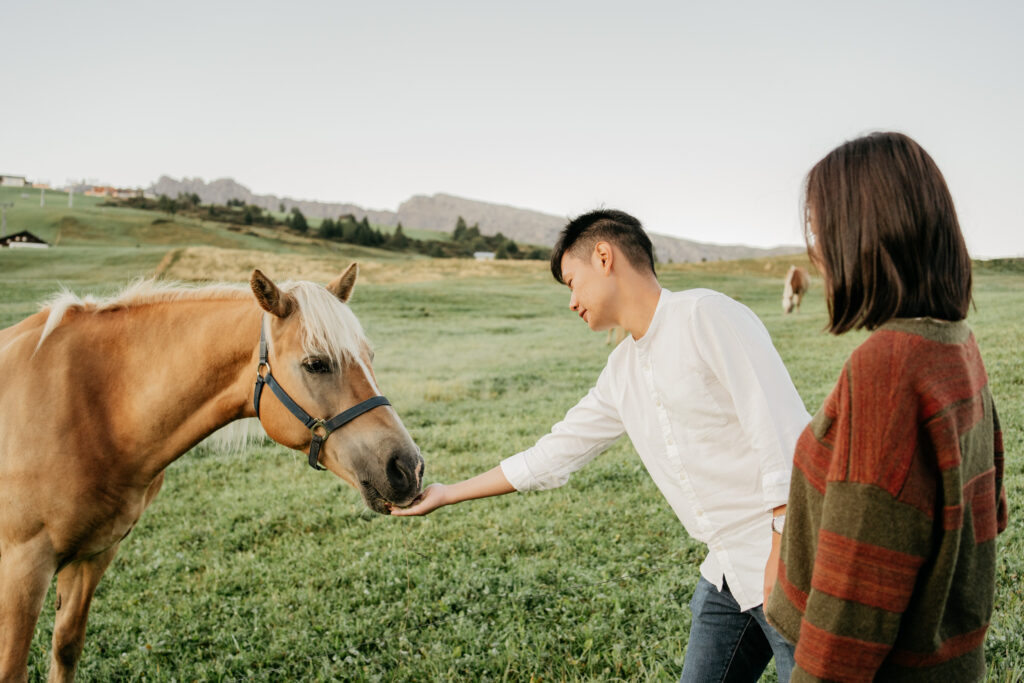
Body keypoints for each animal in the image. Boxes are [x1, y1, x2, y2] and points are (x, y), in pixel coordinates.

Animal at [0, 264, 423, 679]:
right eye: (315, 364)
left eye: (369, 356)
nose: (408, 467)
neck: (95, 407)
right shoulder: (23, 569)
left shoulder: (94, 556)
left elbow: (65, 649)